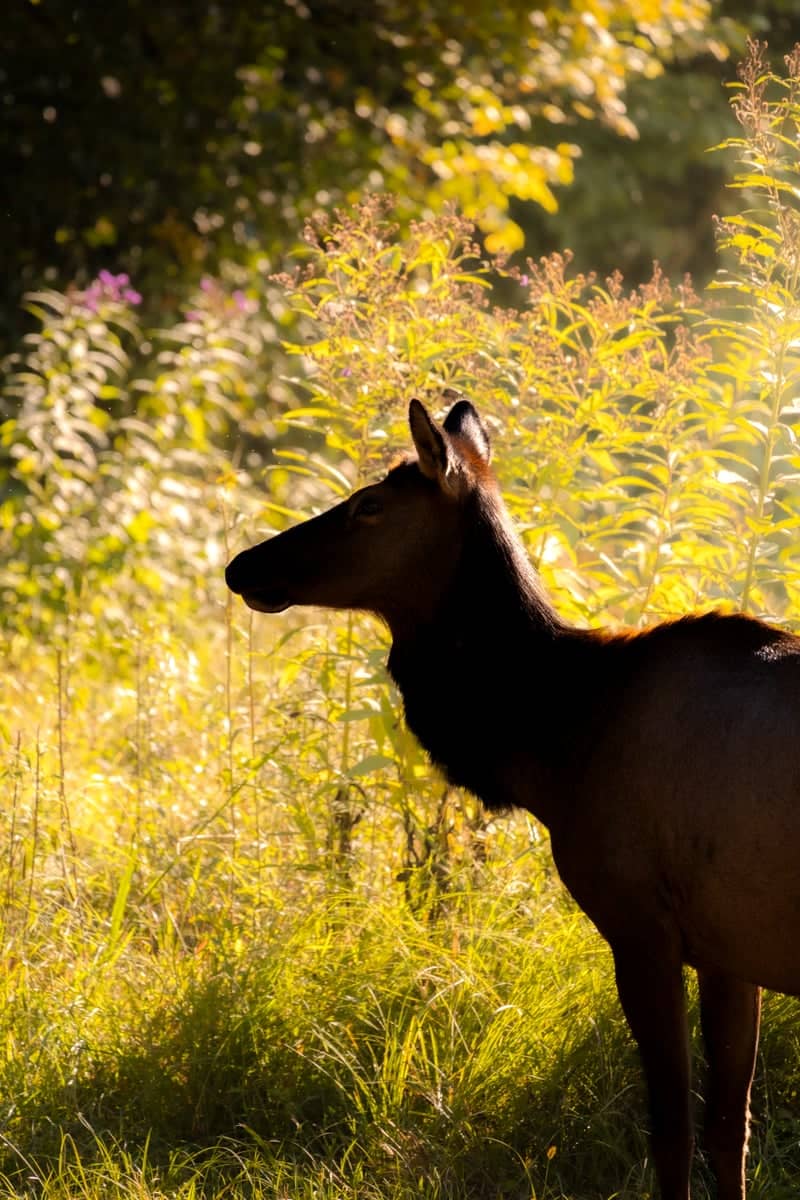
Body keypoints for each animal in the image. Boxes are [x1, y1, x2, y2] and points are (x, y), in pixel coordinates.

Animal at [225, 395, 800, 1200]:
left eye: (369, 506)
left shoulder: (640, 924)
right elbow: (730, 1134)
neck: (554, 741)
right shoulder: (727, 948)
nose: (242, 564)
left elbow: (672, 1134)